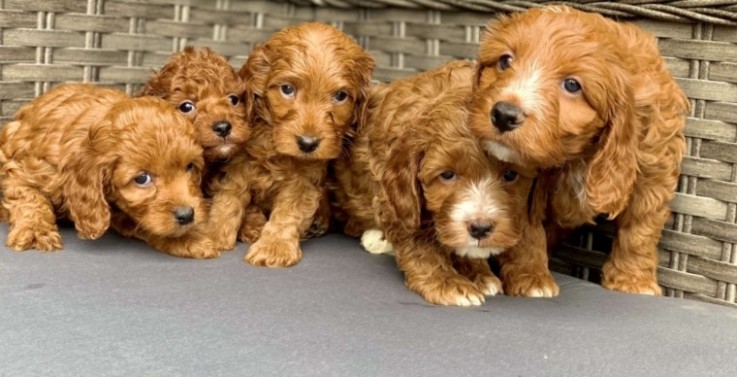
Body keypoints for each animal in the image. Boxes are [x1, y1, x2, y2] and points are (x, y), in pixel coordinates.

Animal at [0, 83, 217, 258]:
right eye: (142, 179)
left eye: (190, 166)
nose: (187, 215)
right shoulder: (18, 170)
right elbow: (29, 199)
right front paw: (35, 231)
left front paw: (188, 239)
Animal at [210, 21, 374, 268]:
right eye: (287, 89)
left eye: (340, 96)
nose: (308, 143)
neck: (275, 149)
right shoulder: (238, 166)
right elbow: (228, 200)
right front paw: (211, 234)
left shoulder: (304, 180)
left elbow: (288, 212)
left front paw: (274, 247)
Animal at [334, 60, 536, 304]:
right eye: (447, 175)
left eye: (509, 175)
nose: (480, 228)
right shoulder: (397, 200)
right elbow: (419, 241)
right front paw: (448, 283)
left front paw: (478, 273)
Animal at [468, 4, 688, 296]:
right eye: (505, 61)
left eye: (572, 85)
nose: (504, 114)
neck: (576, 154)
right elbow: (527, 231)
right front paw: (532, 278)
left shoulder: (653, 166)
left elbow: (639, 229)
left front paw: (632, 280)